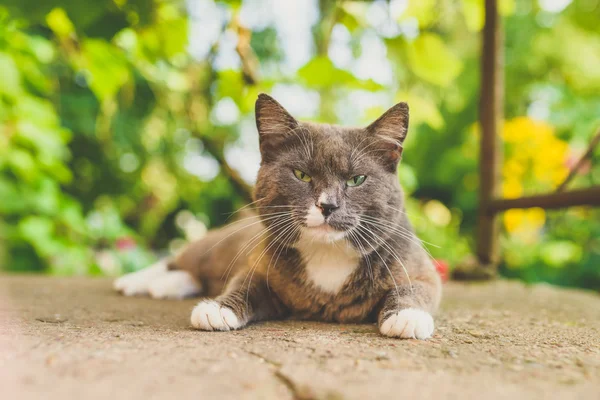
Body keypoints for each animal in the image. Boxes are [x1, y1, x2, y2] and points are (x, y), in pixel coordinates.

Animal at [115, 94, 440, 340]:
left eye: (356, 179)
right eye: (301, 174)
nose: (328, 205)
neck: (328, 253)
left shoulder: (417, 266)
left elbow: (418, 287)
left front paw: (408, 316)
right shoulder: (259, 265)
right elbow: (244, 284)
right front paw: (218, 309)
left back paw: (168, 286)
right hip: (214, 247)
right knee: (177, 259)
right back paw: (134, 281)